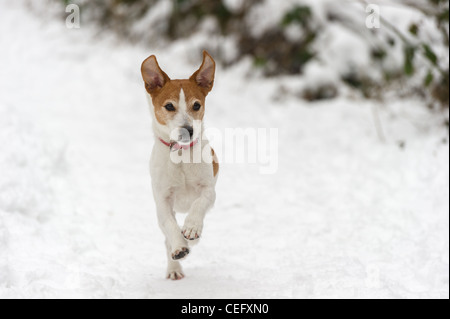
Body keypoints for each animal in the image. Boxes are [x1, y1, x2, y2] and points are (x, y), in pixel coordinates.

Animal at [141, 51, 218, 282]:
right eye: (169, 106)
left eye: (196, 105)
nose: (187, 130)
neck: (182, 155)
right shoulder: (163, 200)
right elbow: (169, 225)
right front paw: (179, 247)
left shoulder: (209, 189)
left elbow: (200, 203)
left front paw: (192, 227)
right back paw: (174, 265)